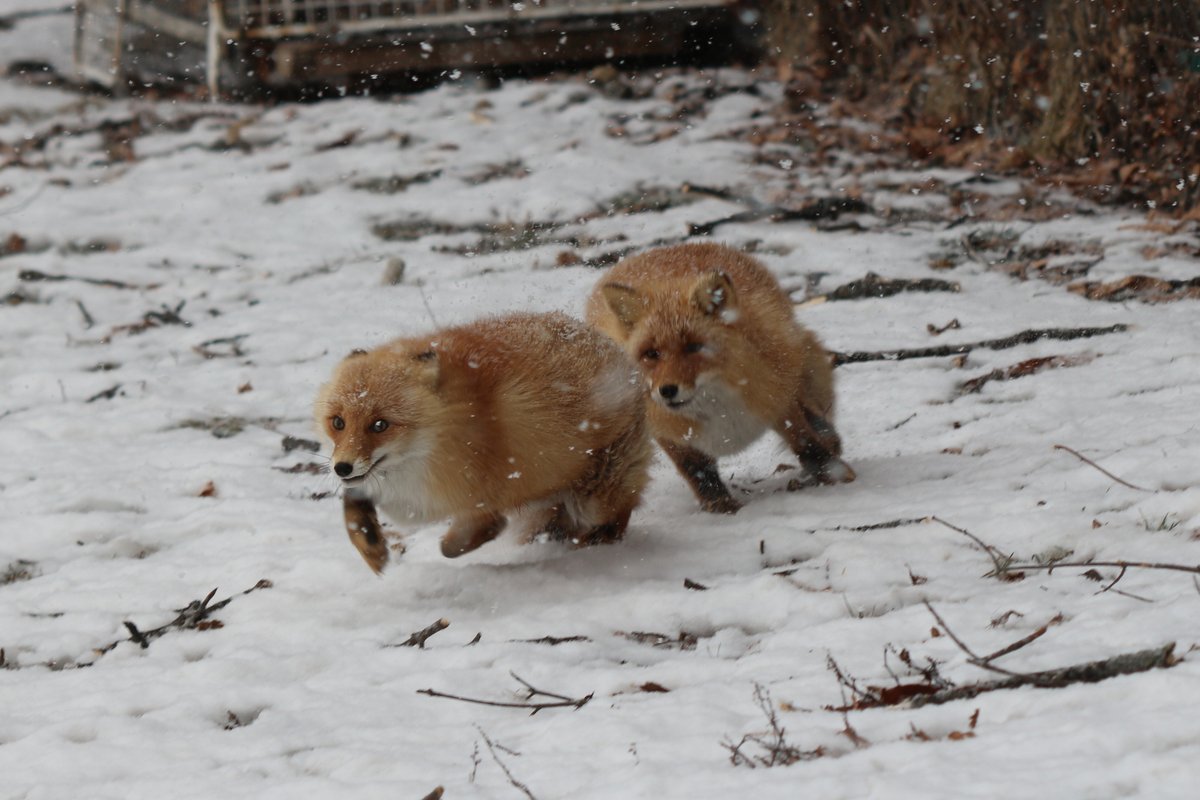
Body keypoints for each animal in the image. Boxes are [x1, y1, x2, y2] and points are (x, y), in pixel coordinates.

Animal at [309, 309, 648, 573]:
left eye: (380, 425)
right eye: (338, 422)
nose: (341, 467)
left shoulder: (465, 494)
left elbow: (458, 542)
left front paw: (471, 537)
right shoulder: (408, 496)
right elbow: (353, 504)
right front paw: (370, 544)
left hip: (596, 498)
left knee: (617, 513)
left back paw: (599, 542)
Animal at [583, 241, 854, 513]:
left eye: (693, 347)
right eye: (651, 353)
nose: (667, 390)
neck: (717, 408)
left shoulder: (777, 400)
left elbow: (805, 441)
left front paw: (833, 473)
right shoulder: (668, 434)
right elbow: (698, 472)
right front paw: (721, 507)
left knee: (813, 411)